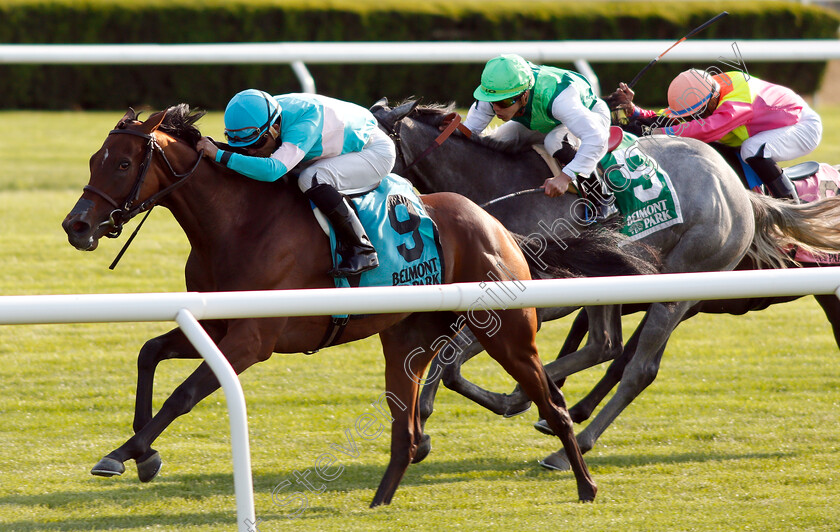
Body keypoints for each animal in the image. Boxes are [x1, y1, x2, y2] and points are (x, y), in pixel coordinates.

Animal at [59, 104, 664, 508]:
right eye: (92, 158)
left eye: (120, 164)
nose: (76, 226)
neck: (239, 223)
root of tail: (496, 224)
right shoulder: (214, 322)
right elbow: (148, 353)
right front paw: (138, 455)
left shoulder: (253, 339)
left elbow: (183, 394)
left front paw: (128, 452)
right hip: (409, 336)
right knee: (415, 412)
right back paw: (390, 485)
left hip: (507, 334)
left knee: (551, 400)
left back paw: (584, 482)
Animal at [372, 98, 840, 470]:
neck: (496, 185)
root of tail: (743, 196)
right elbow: (448, 355)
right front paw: (423, 430)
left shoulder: (547, 295)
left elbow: (455, 357)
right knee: (605, 345)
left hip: (680, 284)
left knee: (637, 369)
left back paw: (570, 446)